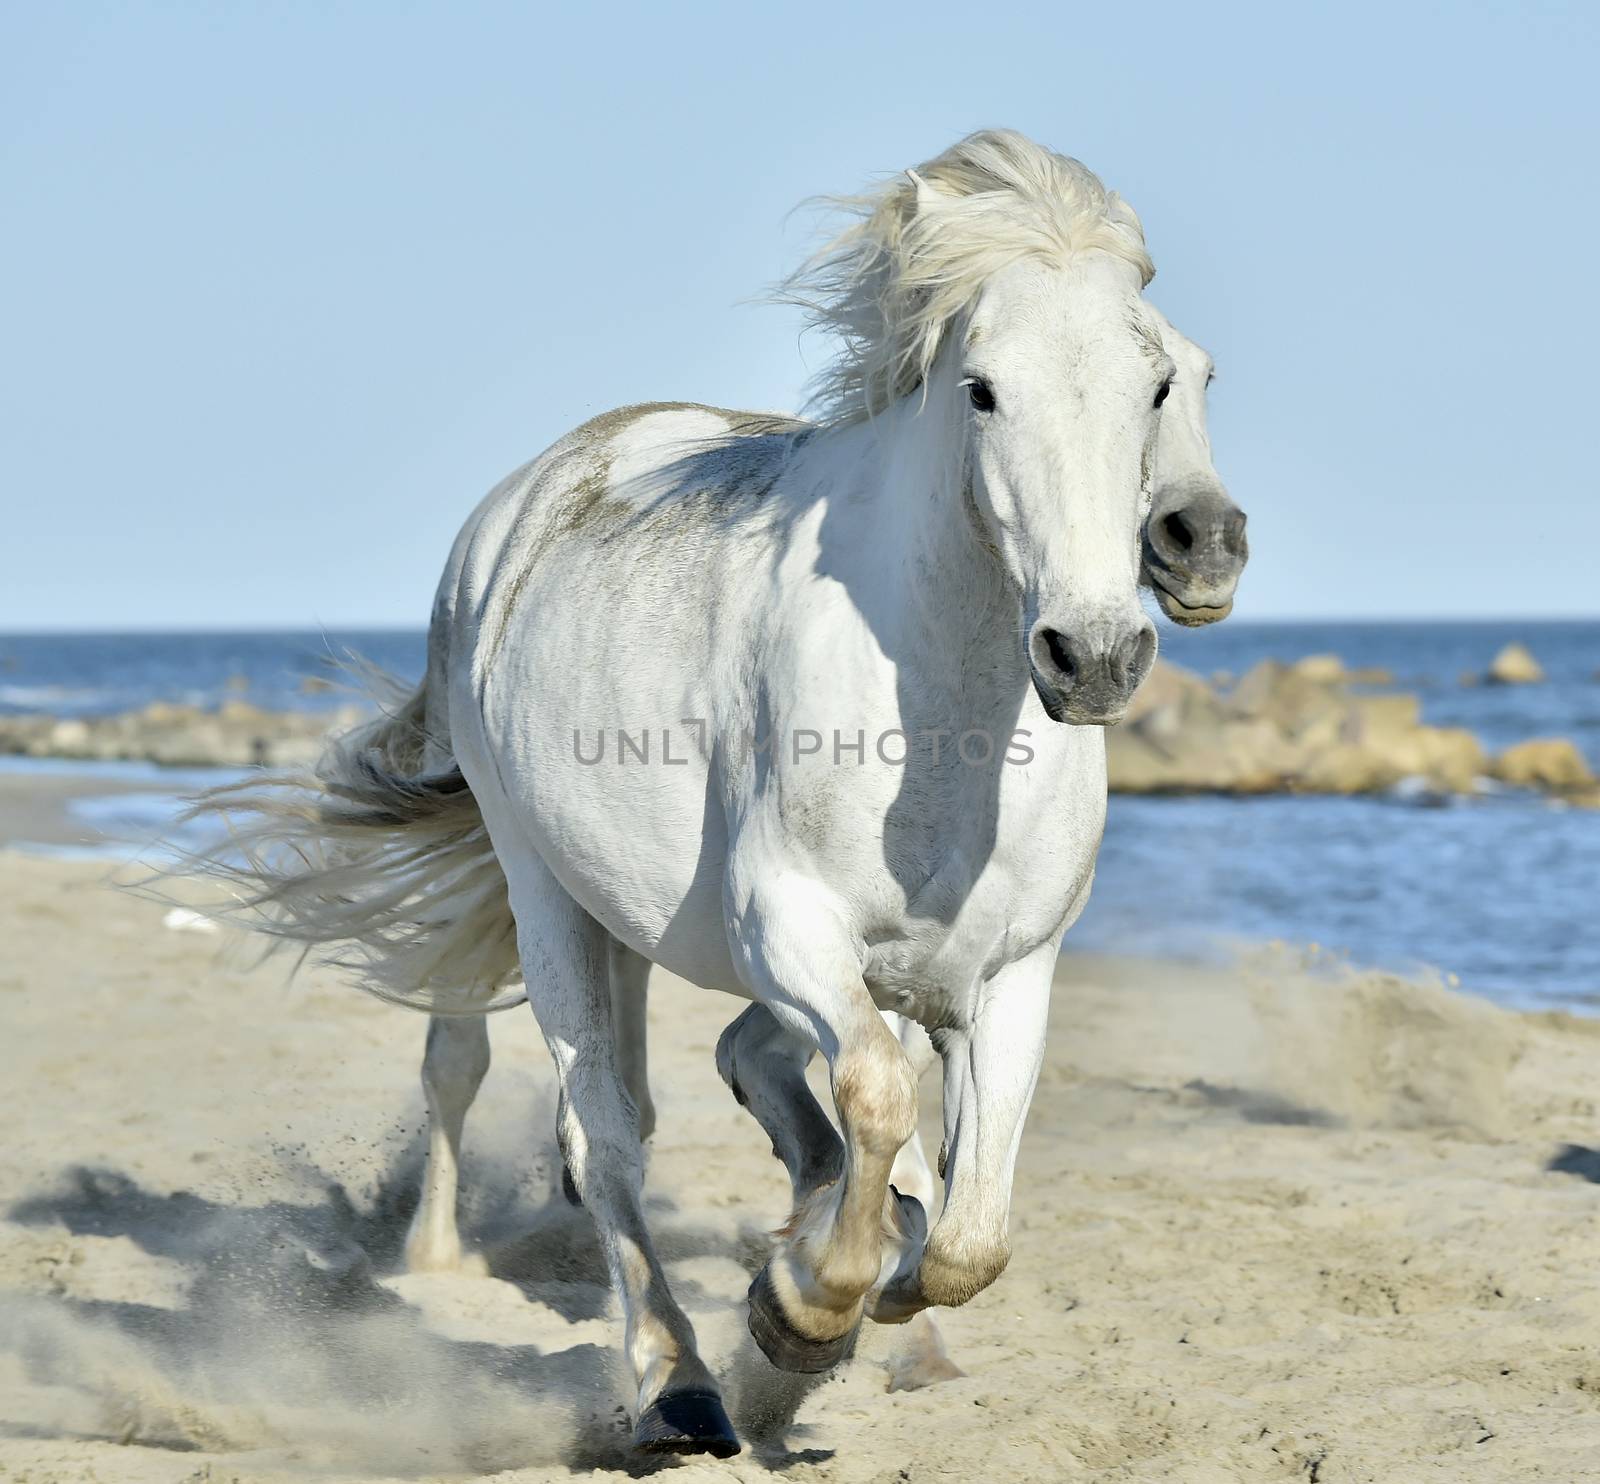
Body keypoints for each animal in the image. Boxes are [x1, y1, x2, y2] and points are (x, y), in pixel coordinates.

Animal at [190, 130, 1203, 1458]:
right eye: (982, 388)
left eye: (1157, 382)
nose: (1092, 656)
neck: (943, 710)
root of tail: (518, 504)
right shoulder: (788, 923)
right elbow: (877, 1098)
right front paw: (799, 1311)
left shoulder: (1011, 966)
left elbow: (969, 1226)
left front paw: (861, 1283)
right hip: (546, 893)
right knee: (606, 1136)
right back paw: (680, 1383)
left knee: (737, 1094)